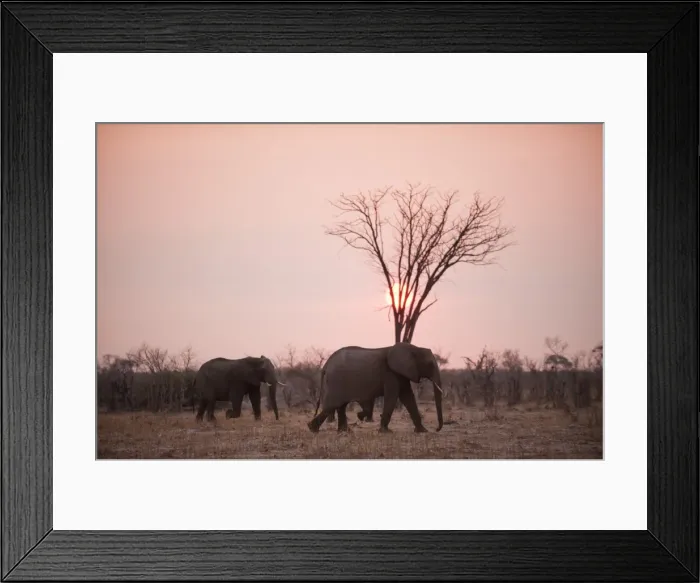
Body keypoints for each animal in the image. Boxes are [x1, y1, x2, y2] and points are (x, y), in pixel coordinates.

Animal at [308, 342, 443, 433]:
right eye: (430, 364)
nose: (437, 429)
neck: (414, 348)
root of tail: (326, 365)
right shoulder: (391, 374)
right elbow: (392, 397)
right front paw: (385, 432)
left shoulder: (401, 374)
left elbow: (408, 397)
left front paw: (423, 431)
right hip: (336, 380)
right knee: (333, 405)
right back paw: (312, 429)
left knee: (340, 405)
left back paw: (344, 431)